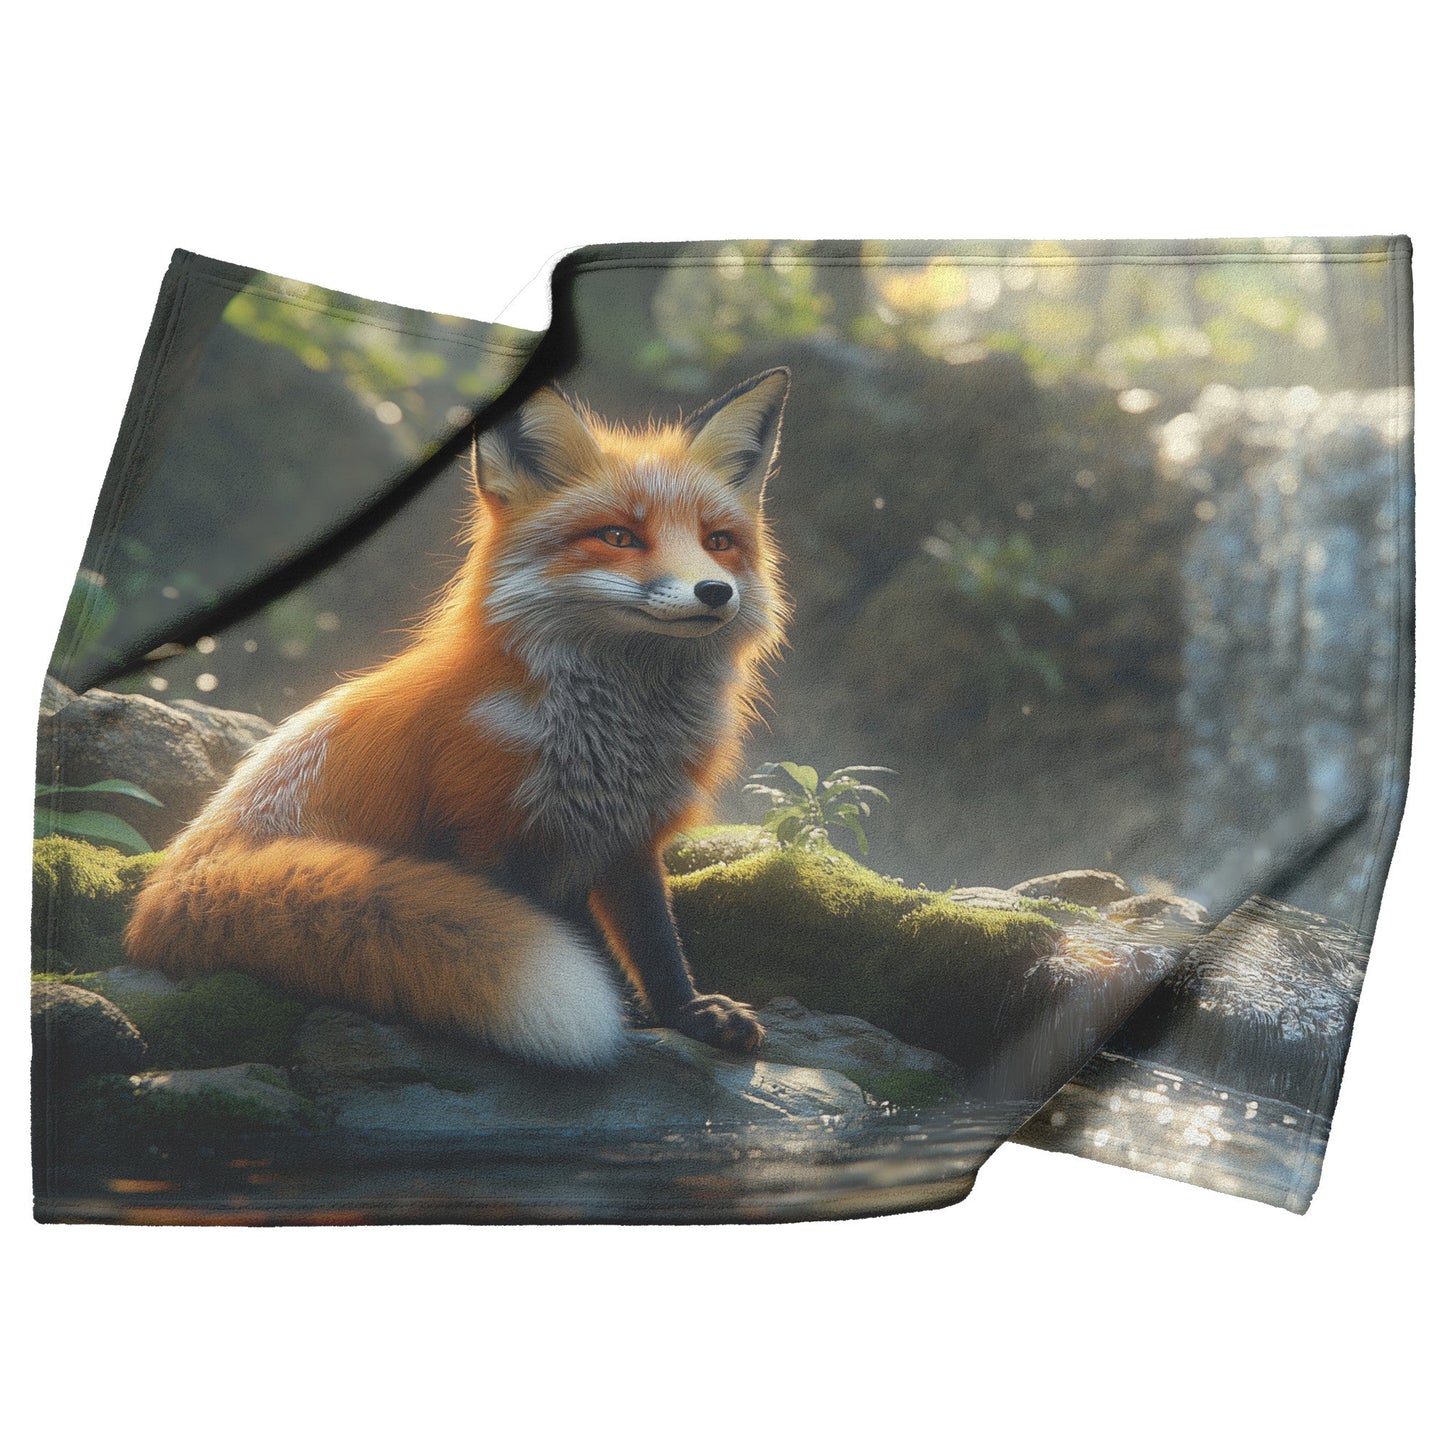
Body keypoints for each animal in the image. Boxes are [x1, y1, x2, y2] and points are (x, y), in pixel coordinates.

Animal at [124, 368, 792, 1068]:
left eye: (718, 542)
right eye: (617, 537)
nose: (715, 591)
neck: (606, 738)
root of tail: (166, 890)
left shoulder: (627, 837)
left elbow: (658, 943)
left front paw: (688, 1014)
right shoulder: (485, 835)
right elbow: (569, 931)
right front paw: (626, 1009)